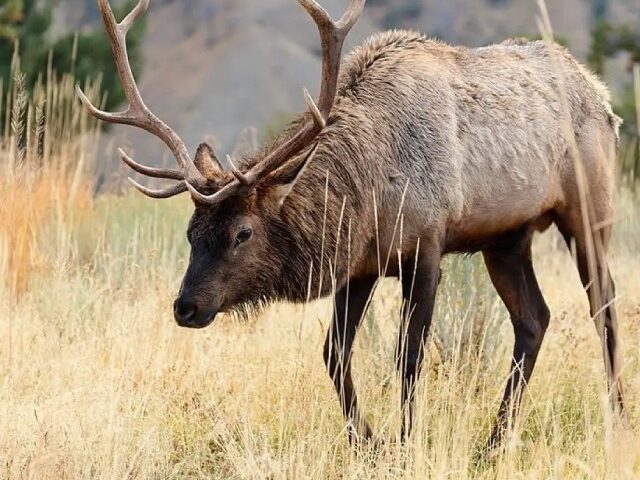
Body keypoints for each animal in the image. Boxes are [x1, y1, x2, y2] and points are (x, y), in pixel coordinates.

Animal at [79, 0, 624, 450]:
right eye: (192, 233)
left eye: (242, 233)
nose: (186, 307)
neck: (369, 188)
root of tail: (603, 96)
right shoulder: (360, 265)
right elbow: (334, 354)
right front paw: (368, 442)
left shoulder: (426, 247)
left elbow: (409, 357)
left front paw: (405, 443)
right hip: (506, 239)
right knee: (534, 318)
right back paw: (492, 441)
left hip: (588, 208)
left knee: (604, 301)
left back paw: (617, 415)